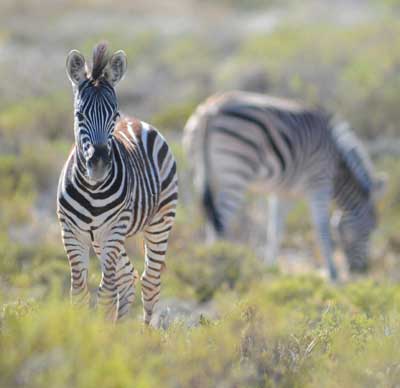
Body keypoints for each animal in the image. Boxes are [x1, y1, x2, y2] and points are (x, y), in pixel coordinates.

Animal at [57, 42, 178, 322]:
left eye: (114, 113)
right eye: (79, 115)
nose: (99, 163)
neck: (92, 189)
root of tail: (136, 121)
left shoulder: (112, 231)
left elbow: (106, 295)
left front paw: (101, 331)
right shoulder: (71, 233)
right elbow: (79, 294)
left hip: (158, 222)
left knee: (149, 283)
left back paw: (143, 332)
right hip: (101, 240)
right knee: (127, 276)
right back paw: (120, 328)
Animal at [184, 91, 384, 278]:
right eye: (371, 228)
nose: (361, 270)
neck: (337, 166)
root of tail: (210, 109)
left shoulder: (283, 192)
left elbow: (275, 230)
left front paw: (269, 269)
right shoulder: (319, 182)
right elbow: (322, 228)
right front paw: (333, 274)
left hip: (203, 174)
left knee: (211, 219)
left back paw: (210, 261)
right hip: (236, 173)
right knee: (219, 223)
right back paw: (219, 264)